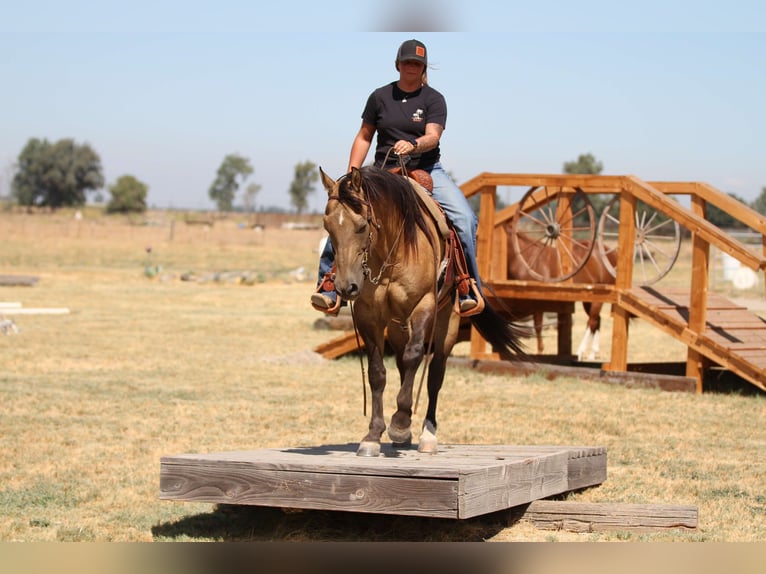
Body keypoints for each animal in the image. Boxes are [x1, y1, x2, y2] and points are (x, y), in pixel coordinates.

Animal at [320, 166, 526, 457]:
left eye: (362, 226)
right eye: (327, 227)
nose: (345, 286)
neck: (390, 254)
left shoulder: (424, 305)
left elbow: (416, 356)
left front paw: (400, 423)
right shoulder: (368, 314)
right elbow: (377, 372)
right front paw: (373, 435)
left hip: (448, 322)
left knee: (435, 374)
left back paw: (427, 434)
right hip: (397, 326)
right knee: (402, 364)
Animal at [506, 229, 617, 361]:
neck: (527, 259)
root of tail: (609, 252)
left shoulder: (537, 302)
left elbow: (538, 326)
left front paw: (540, 352)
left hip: (597, 299)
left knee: (592, 322)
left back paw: (580, 352)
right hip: (588, 300)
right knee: (597, 321)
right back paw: (592, 354)